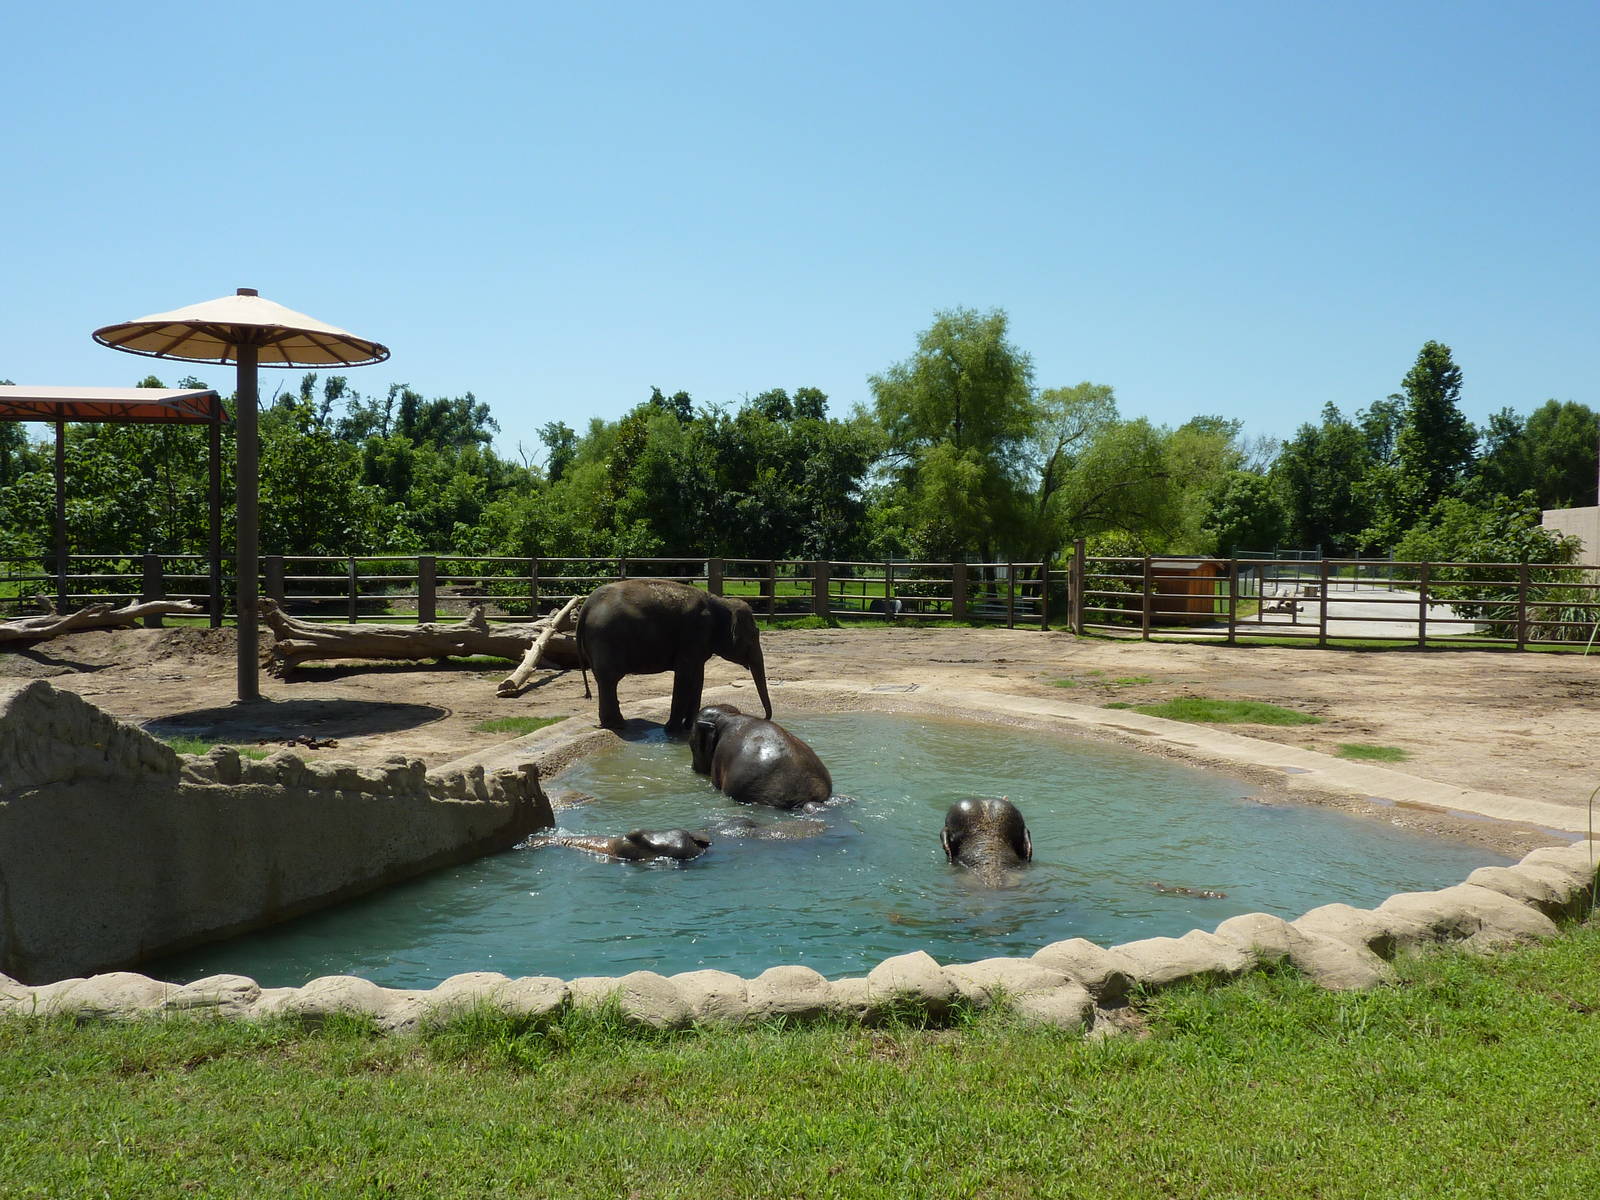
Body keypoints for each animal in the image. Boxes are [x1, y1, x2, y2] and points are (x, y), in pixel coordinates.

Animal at [576, 580, 772, 734]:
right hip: (605, 637)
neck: (721, 602)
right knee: (610, 679)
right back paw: (618, 725)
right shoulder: (694, 632)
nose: (765, 717)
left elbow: (698, 677)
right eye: (754, 636)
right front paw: (672, 730)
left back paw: (613, 724)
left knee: (605, 680)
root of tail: (586, 606)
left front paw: (690, 726)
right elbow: (684, 674)